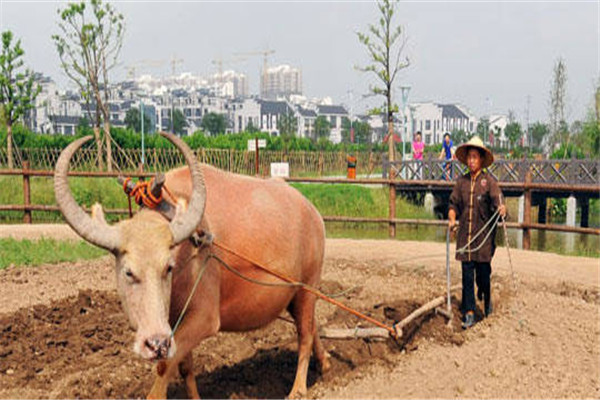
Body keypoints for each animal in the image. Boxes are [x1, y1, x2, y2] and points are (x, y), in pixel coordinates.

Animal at [52, 133, 328, 398]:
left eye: (168, 267)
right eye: (128, 272)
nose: (155, 344)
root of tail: (313, 213)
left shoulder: (203, 320)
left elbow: (166, 365)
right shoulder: (175, 323)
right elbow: (185, 367)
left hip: (308, 288)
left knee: (304, 334)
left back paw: (298, 389)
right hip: (293, 296)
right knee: (312, 325)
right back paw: (324, 365)